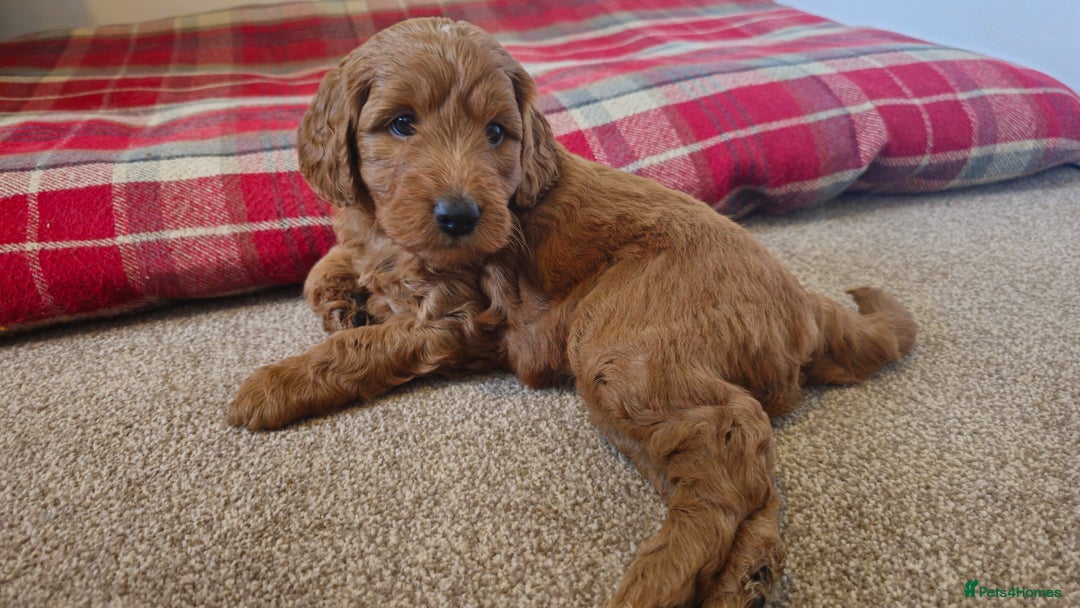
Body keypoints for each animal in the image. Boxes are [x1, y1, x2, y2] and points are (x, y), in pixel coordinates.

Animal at [227, 17, 916, 608]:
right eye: (400, 124)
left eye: (496, 133)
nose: (460, 216)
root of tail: (802, 300)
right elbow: (326, 265)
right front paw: (345, 299)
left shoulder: (458, 316)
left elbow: (363, 345)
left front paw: (273, 384)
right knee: (748, 472)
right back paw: (746, 575)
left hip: (624, 342)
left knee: (727, 435)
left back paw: (658, 582)